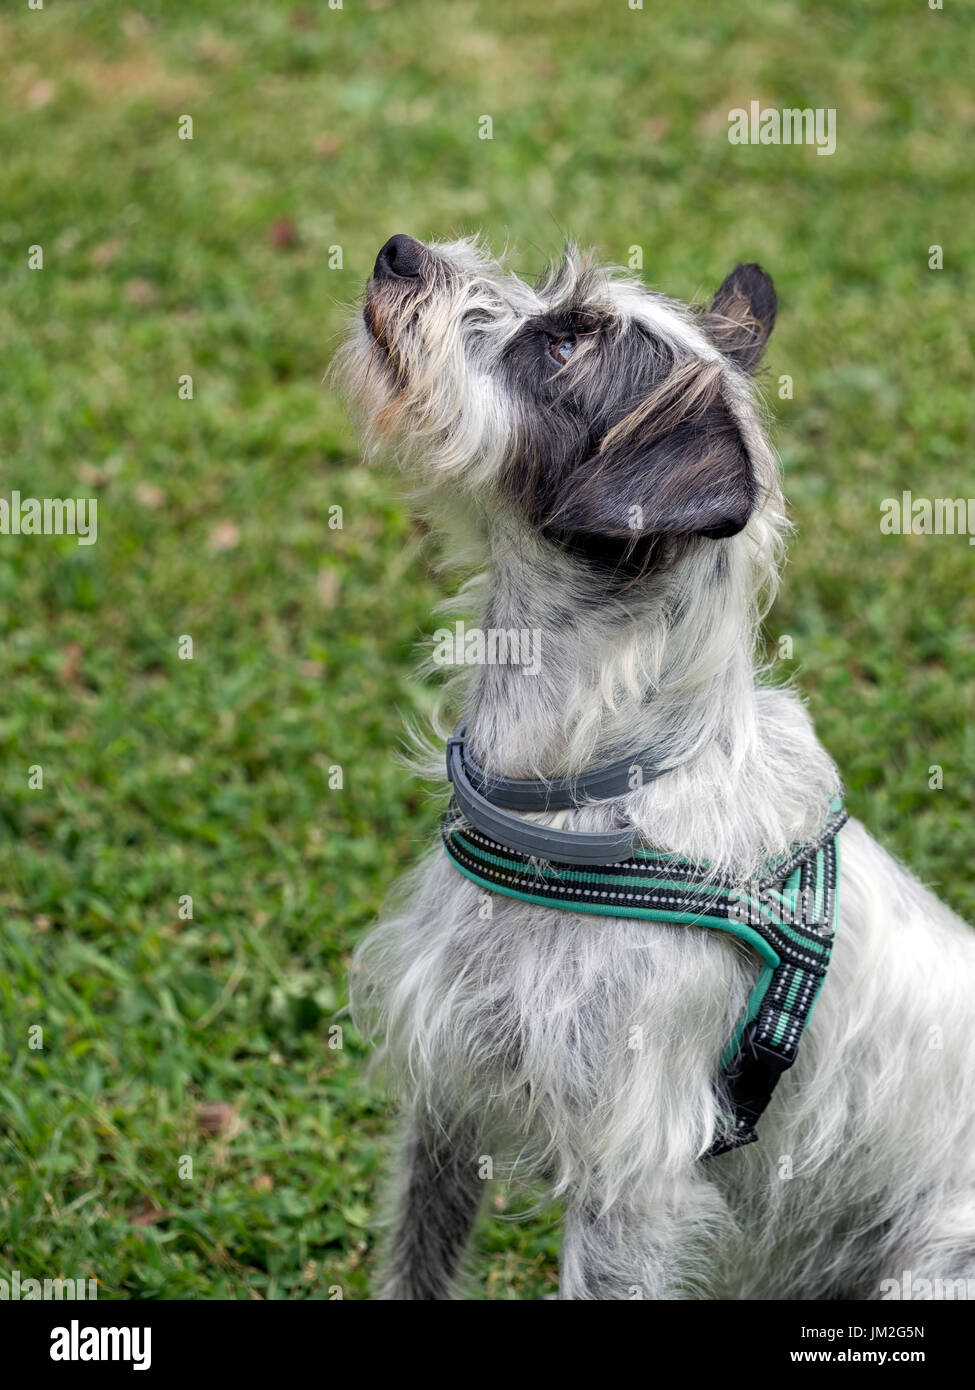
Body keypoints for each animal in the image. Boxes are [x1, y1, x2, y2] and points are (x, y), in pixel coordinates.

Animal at [336, 236, 973, 1301]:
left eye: (562, 346)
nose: (399, 252)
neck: (580, 800)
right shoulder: (447, 1099)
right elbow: (415, 1264)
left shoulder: (629, 1178)